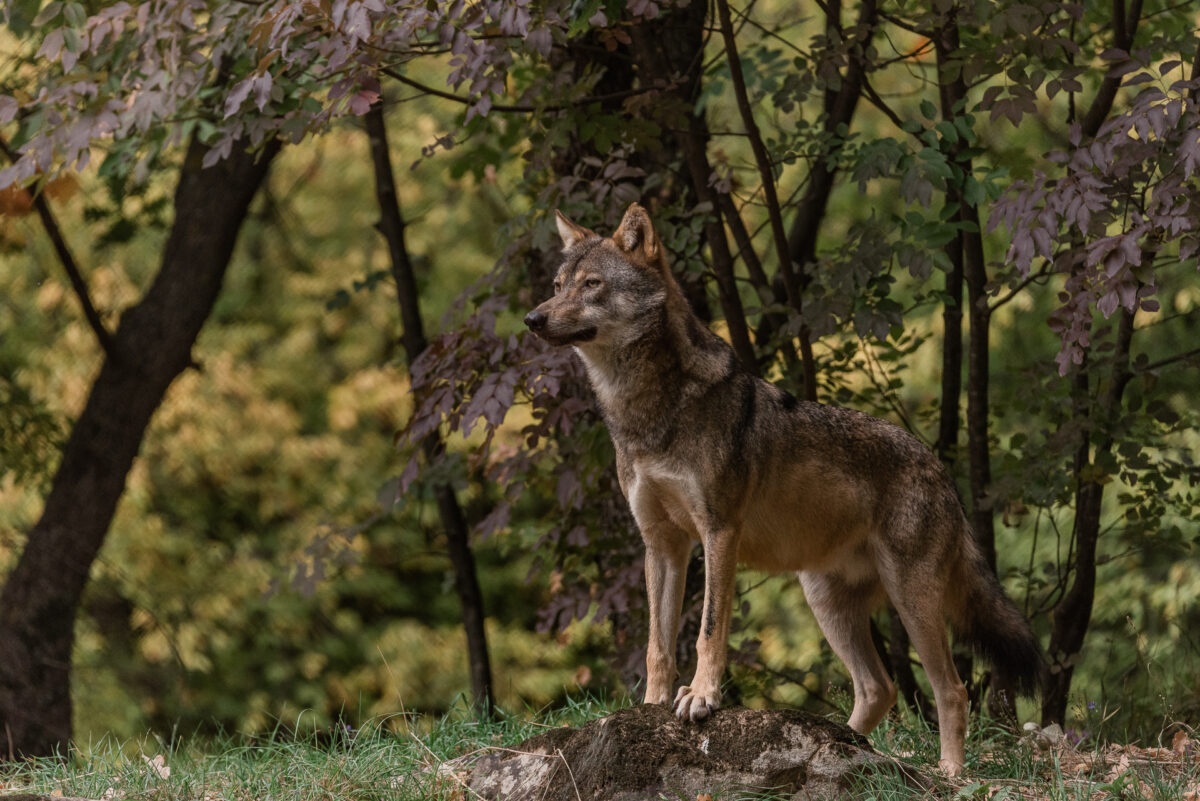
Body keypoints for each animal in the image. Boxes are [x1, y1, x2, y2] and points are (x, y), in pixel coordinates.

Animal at [523, 203, 1041, 772]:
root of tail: (940, 468)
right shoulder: (662, 544)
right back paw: (841, 746)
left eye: (592, 284)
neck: (646, 412)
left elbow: (708, 631)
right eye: (557, 285)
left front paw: (701, 698)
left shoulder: (718, 533)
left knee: (952, 690)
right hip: (827, 603)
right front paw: (650, 709)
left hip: (911, 601)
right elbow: (657, 645)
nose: (533, 318)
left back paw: (947, 773)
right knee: (878, 689)